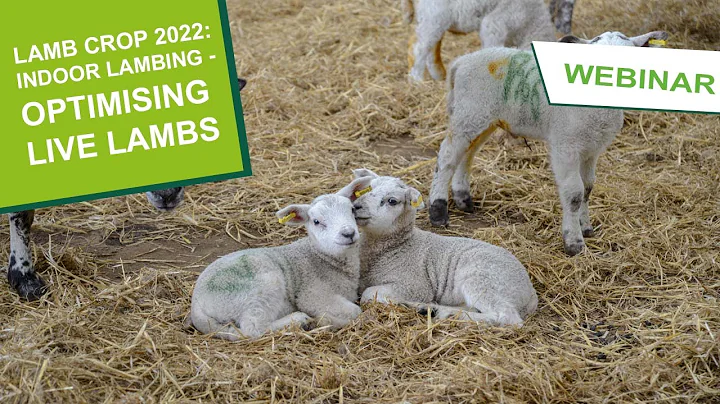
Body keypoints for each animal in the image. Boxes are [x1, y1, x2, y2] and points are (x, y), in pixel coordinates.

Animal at [189, 190, 362, 340]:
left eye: (352, 210)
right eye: (316, 221)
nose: (349, 233)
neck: (321, 258)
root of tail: (196, 302)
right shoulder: (312, 293)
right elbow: (356, 310)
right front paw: (326, 321)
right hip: (258, 288)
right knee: (253, 328)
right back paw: (299, 320)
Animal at [340, 169, 537, 326]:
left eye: (392, 201)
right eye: (368, 189)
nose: (357, 206)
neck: (399, 247)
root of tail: (530, 293)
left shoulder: (414, 285)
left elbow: (368, 294)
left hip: (483, 279)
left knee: (508, 317)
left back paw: (443, 313)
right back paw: (433, 309)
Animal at [427, 31, 669, 256]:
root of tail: (461, 62)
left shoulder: (592, 148)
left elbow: (588, 187)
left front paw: (586, 228)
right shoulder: (566, 145)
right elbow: (574, 193)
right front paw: (574, 242)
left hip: (483, 117)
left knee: (467, 153)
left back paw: (464, 199)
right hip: (470, 112)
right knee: (447, 156)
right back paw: (438, 211)